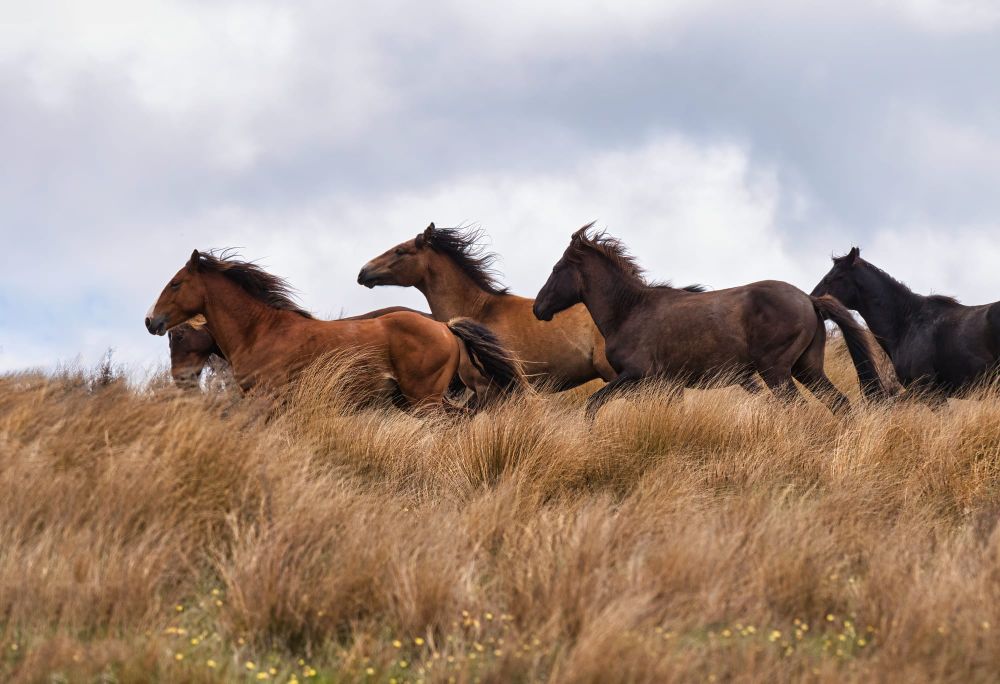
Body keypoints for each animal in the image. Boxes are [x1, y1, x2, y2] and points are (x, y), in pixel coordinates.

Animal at [532, 225, 889, 418]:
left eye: (557, 268)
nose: (538, 308)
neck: (631, 310)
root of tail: (809, 300)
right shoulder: (667, 386)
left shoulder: (636, 376)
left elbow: (592, 404)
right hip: (807, 368)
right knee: (840, 404)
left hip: (776, 371)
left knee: (799, 408)